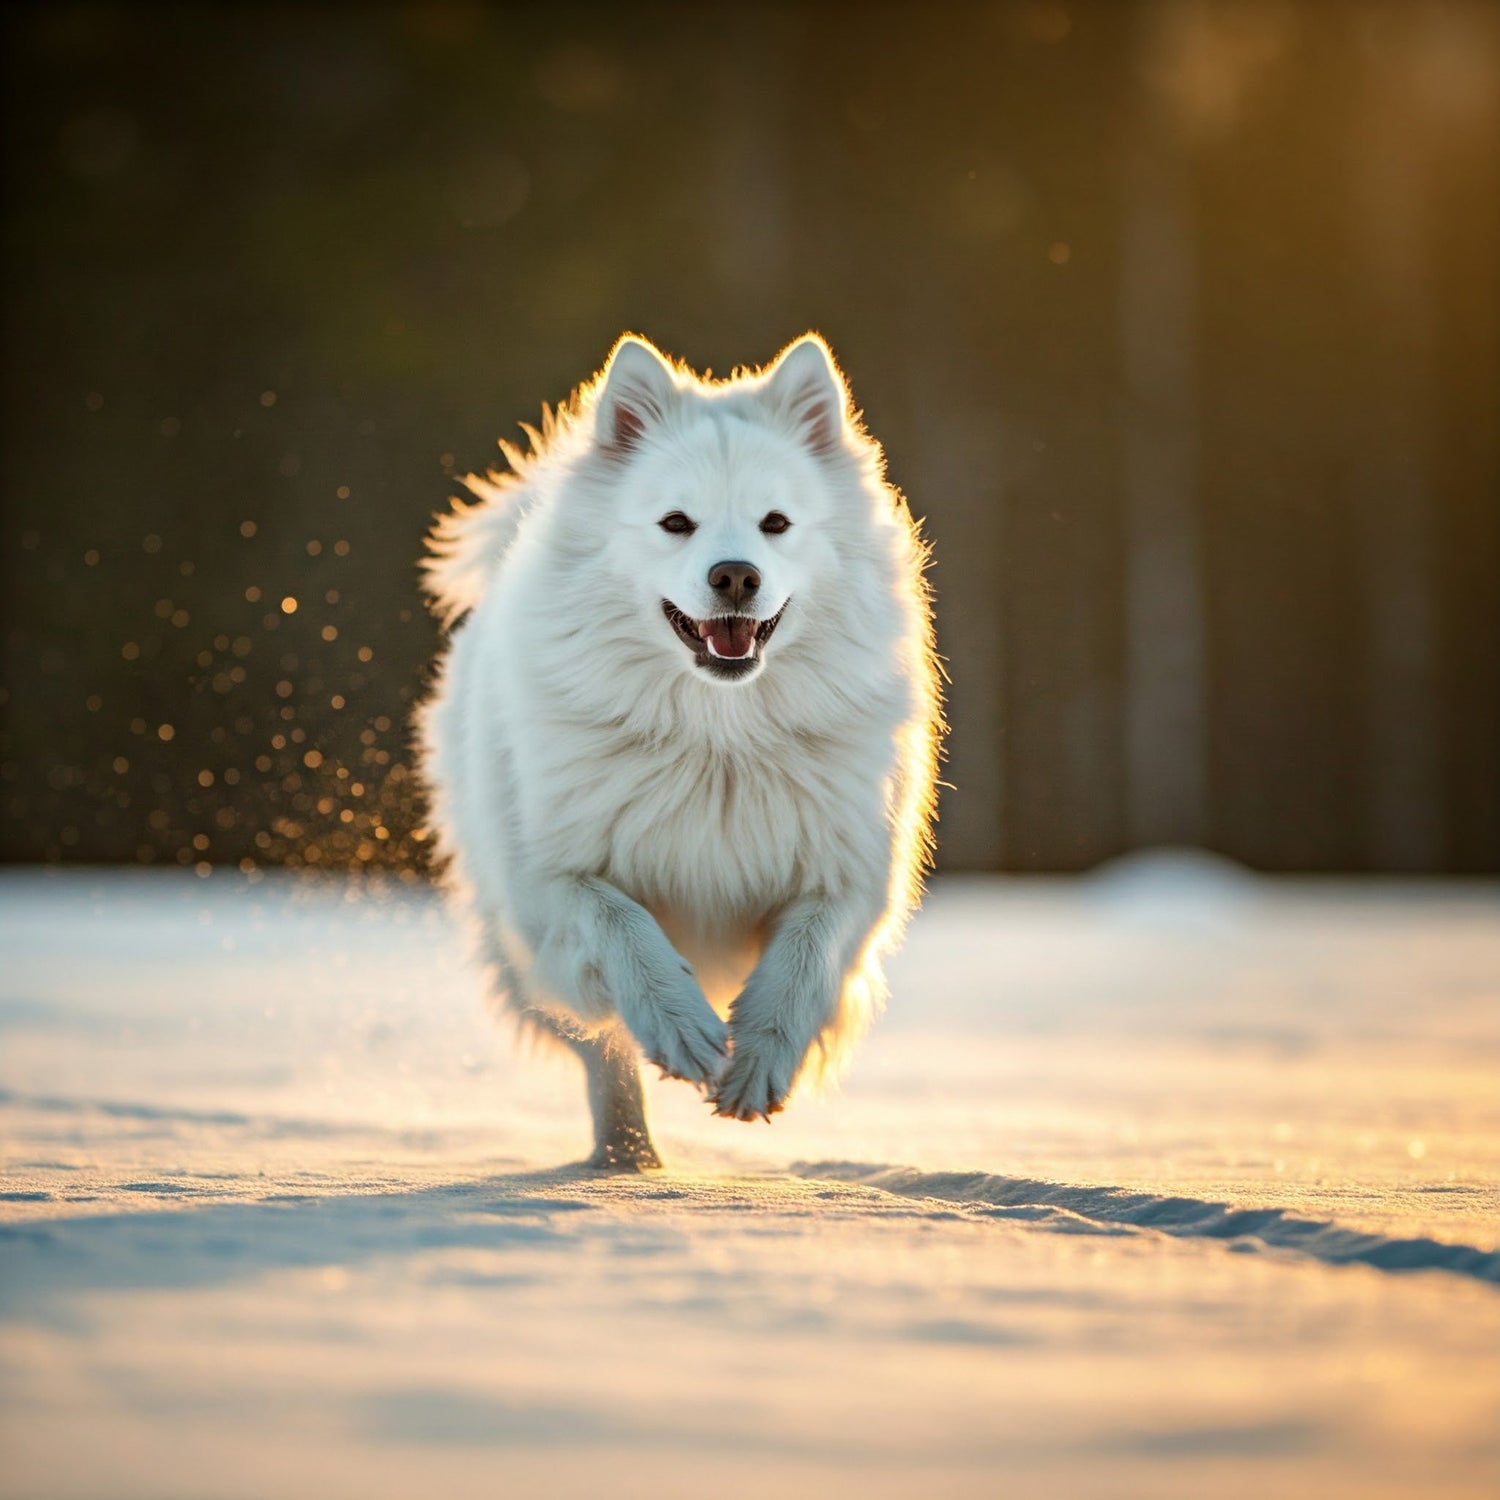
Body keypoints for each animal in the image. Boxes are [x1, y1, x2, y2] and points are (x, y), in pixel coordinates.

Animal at [417, 334, 942, 1164]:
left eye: (775, 523)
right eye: (675, 523)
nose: (735, 575)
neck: (717, 739)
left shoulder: (850, 877)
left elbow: (805, 956)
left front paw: (757, 1060)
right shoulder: (550, 884)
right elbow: (622, 928)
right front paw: (684, 1029)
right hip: (516, 951)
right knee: (602, 1054)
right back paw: (626, 1160)